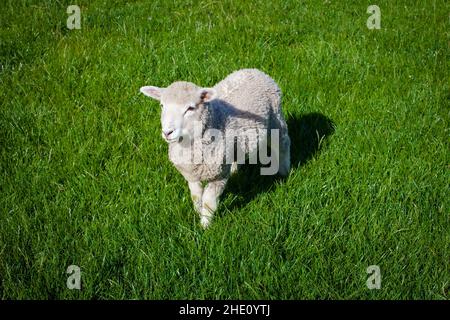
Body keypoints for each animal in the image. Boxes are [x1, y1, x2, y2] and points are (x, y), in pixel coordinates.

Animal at [139, 68, 290, 228]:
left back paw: (284, 171)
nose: (167, 132)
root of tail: (255, 71)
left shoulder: (219, 175)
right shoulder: (192, 174)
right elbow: (196, 196)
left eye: (190, 108)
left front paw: (205, 225)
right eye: (162, 105)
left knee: (284, 143)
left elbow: (208, 201)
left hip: (275, 120)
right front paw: (198, 212)